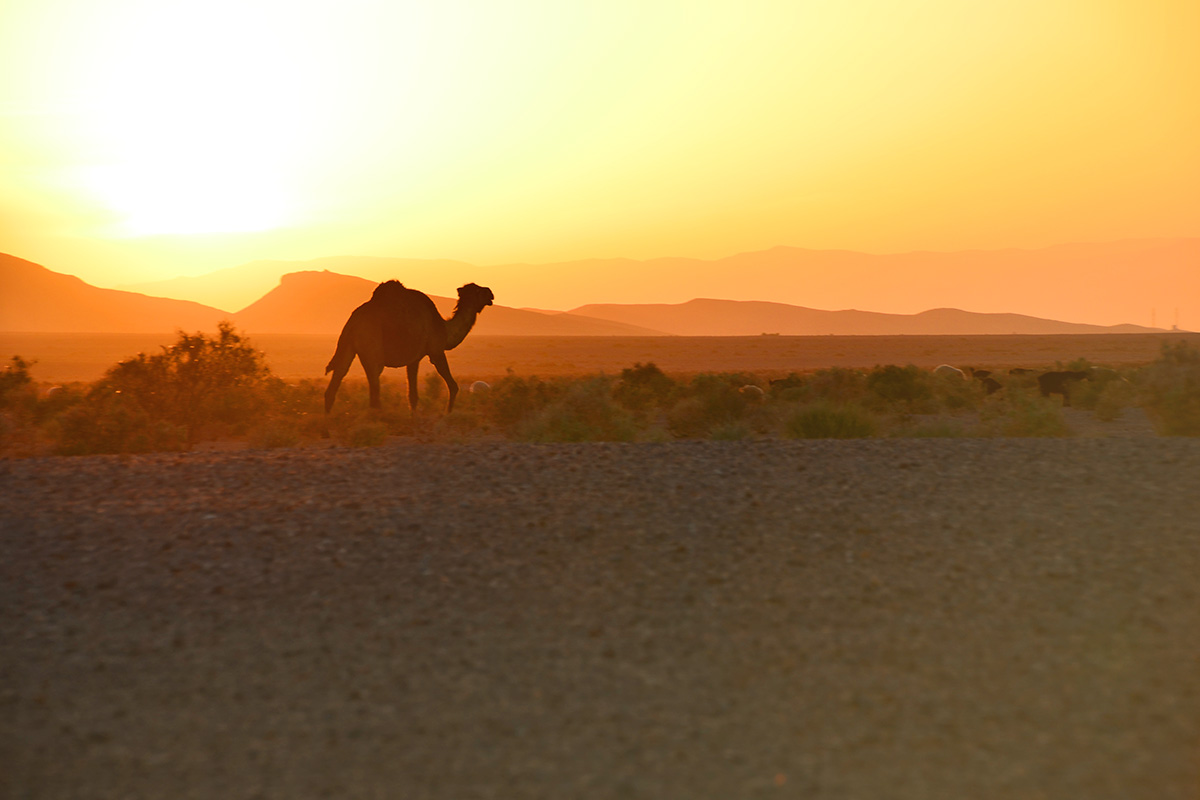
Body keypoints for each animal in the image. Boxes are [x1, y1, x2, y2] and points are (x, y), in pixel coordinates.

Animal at [324, 280, 492, 417]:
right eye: (478, 290)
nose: (491, 292)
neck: (444, 328)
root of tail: (352, 321)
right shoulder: (436, 351)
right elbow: (453, 385)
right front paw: (448, 413)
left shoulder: (414, 359)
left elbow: (412, 395)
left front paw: (414, 416)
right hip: (371, 345)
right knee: (374, 384)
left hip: (348, 346)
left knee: (338, 375)